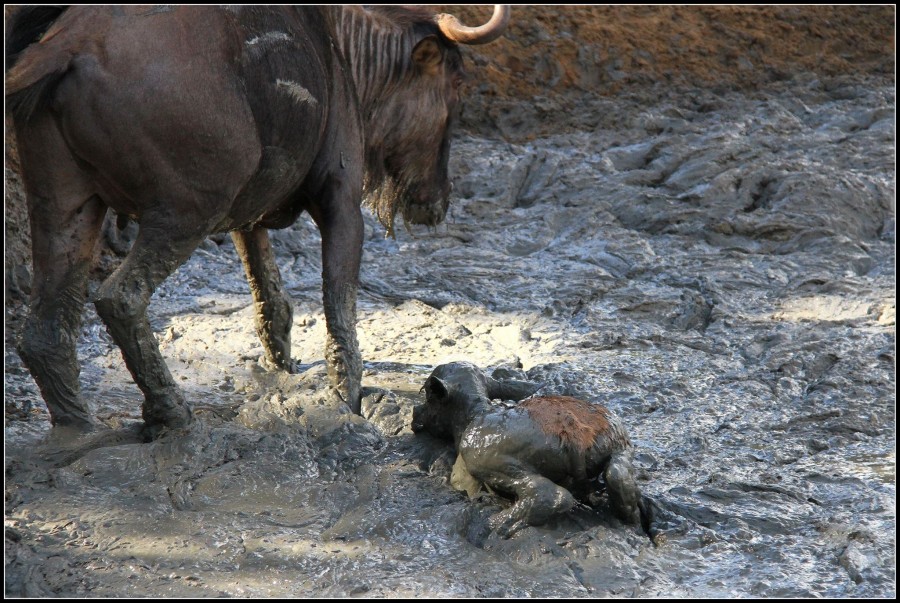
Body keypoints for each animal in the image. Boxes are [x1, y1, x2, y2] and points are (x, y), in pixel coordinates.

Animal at [412, 364, 652, 536]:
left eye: (427, 397)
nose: (416, 414)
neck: (476, 413)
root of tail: (573, 432)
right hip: (619, 442)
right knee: (618, 478)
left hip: (489, 461)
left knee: (550, 494)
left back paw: (495, 524)